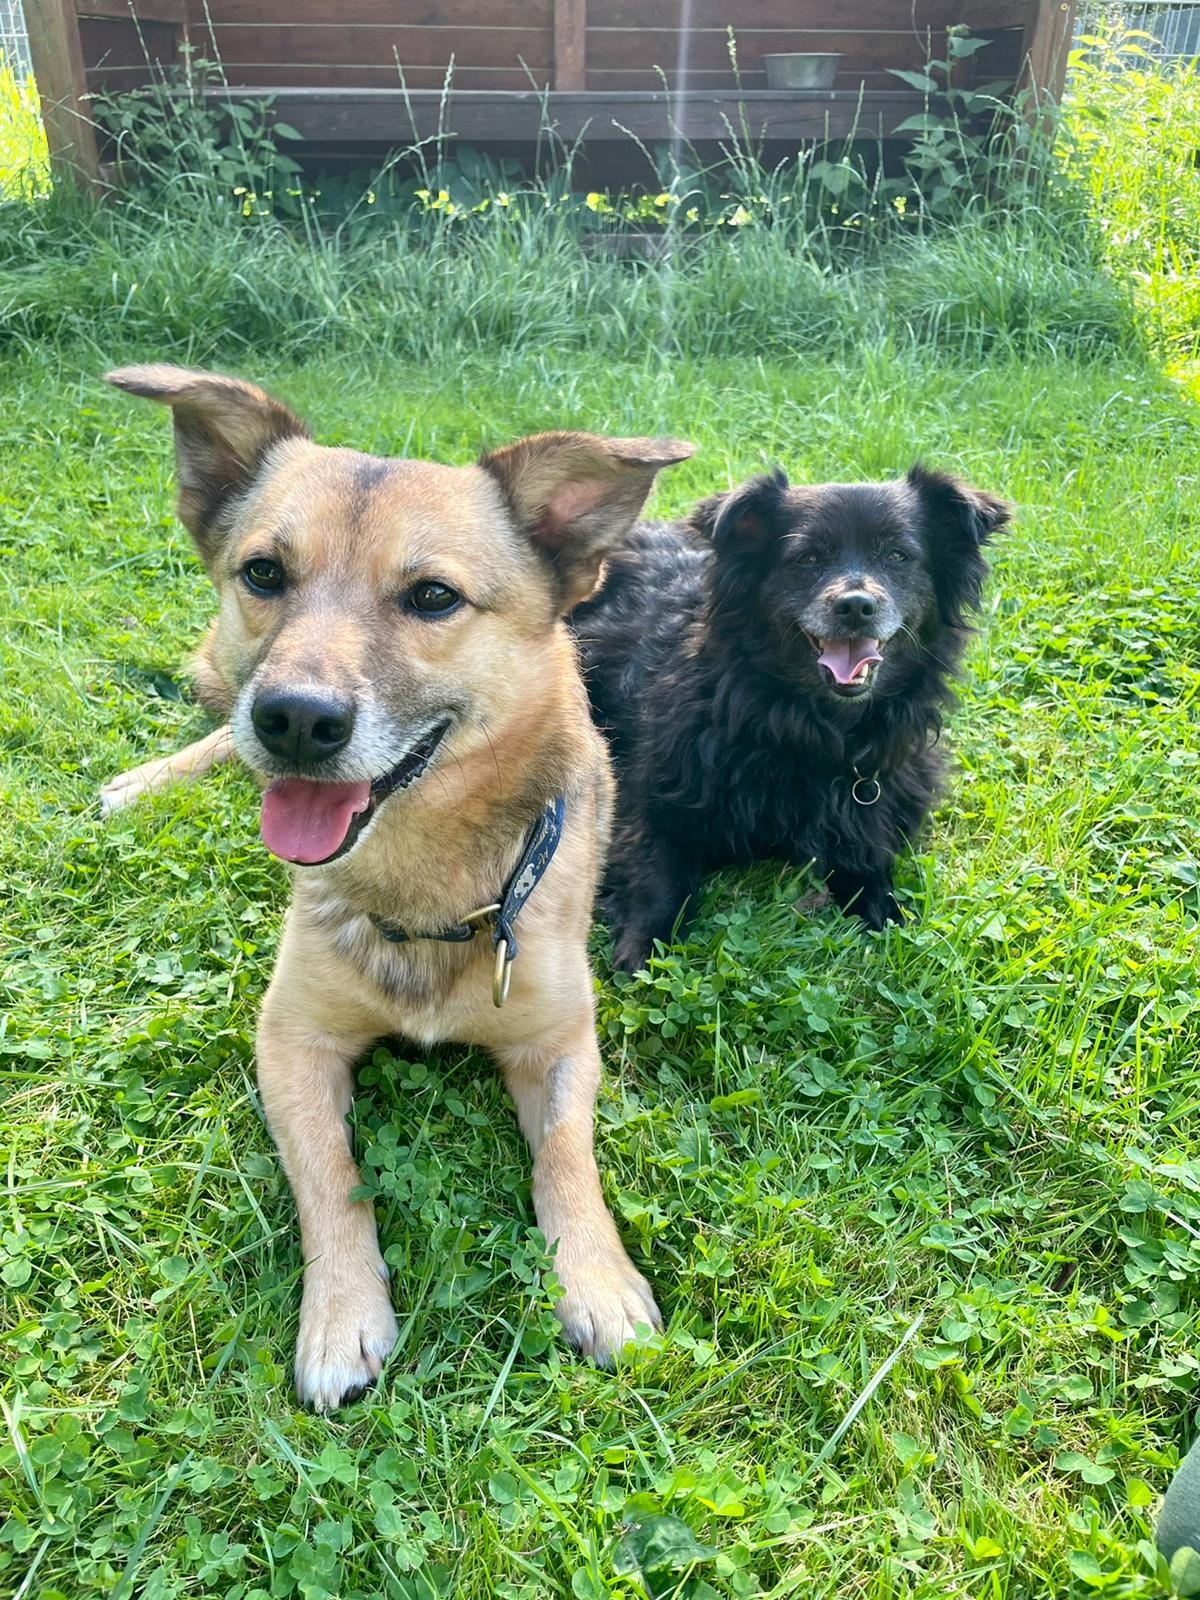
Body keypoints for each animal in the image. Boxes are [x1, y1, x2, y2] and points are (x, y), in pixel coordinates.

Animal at [104, 364, 692, 1409]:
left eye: (432, 596)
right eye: (264, 573)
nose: (297, 720)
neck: (428, 889)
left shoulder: (558, 1041)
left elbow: (567, 1158)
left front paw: (598, 1280)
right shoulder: (291, 1041)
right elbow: (331, 1177)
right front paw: (342, 1311)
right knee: (217, 740)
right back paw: (143, 783)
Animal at [570, 464, 1012, 972]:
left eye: (899, 556)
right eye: (806, 558)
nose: (856, 606)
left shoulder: (874, 804)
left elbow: (871, 872)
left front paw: (892, 923)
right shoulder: (651, 799)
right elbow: (660, 875)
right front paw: (643, 950)